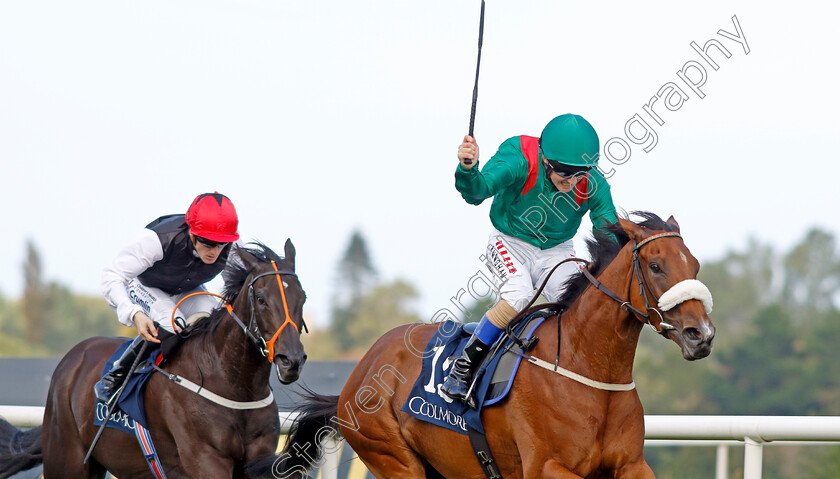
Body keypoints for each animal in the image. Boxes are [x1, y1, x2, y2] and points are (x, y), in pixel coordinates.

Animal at [0, 242, 308, 478]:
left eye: (302, 297)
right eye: (262, 299)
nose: (291, 360)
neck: (233, 384)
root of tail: (73, 357)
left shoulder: (260, 459)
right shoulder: (206, 460)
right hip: (67, 460)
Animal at [270, 215, 716, 479]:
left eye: (693, 265)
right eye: (656, 266)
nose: (702, 334)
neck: (587, 368)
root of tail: (360, 372)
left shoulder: (632, 466)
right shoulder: (547, 467)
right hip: (393, 459)